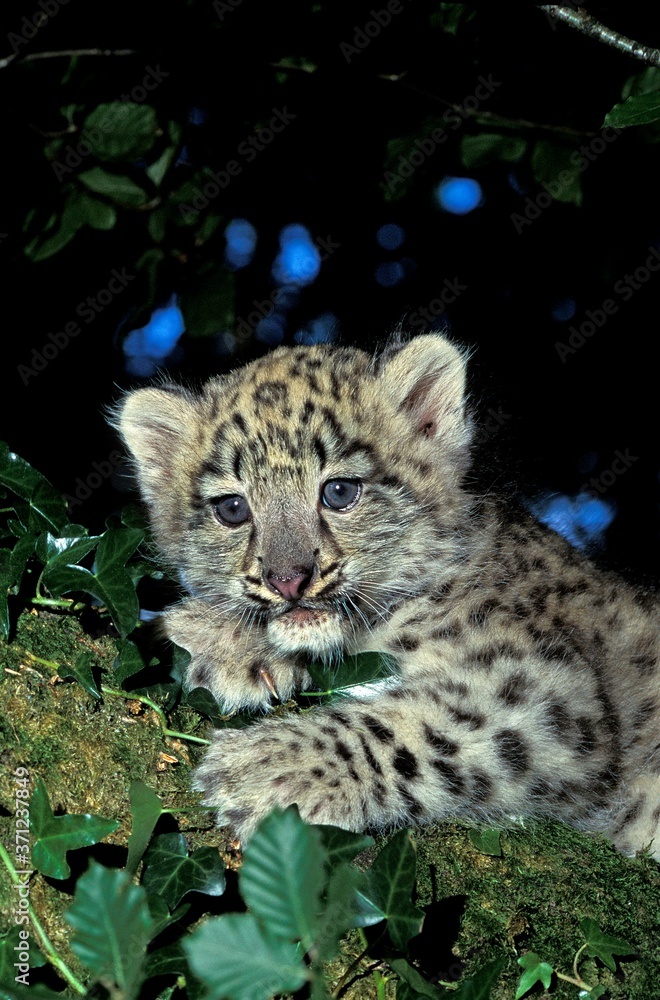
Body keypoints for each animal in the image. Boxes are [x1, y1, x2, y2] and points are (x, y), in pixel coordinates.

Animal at [115, 333, 660, 858]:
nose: (288, 579)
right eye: (232, 508)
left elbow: (423, 728)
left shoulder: (548, 695)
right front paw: (206, 637)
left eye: (340, 491)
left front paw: (267, 769)